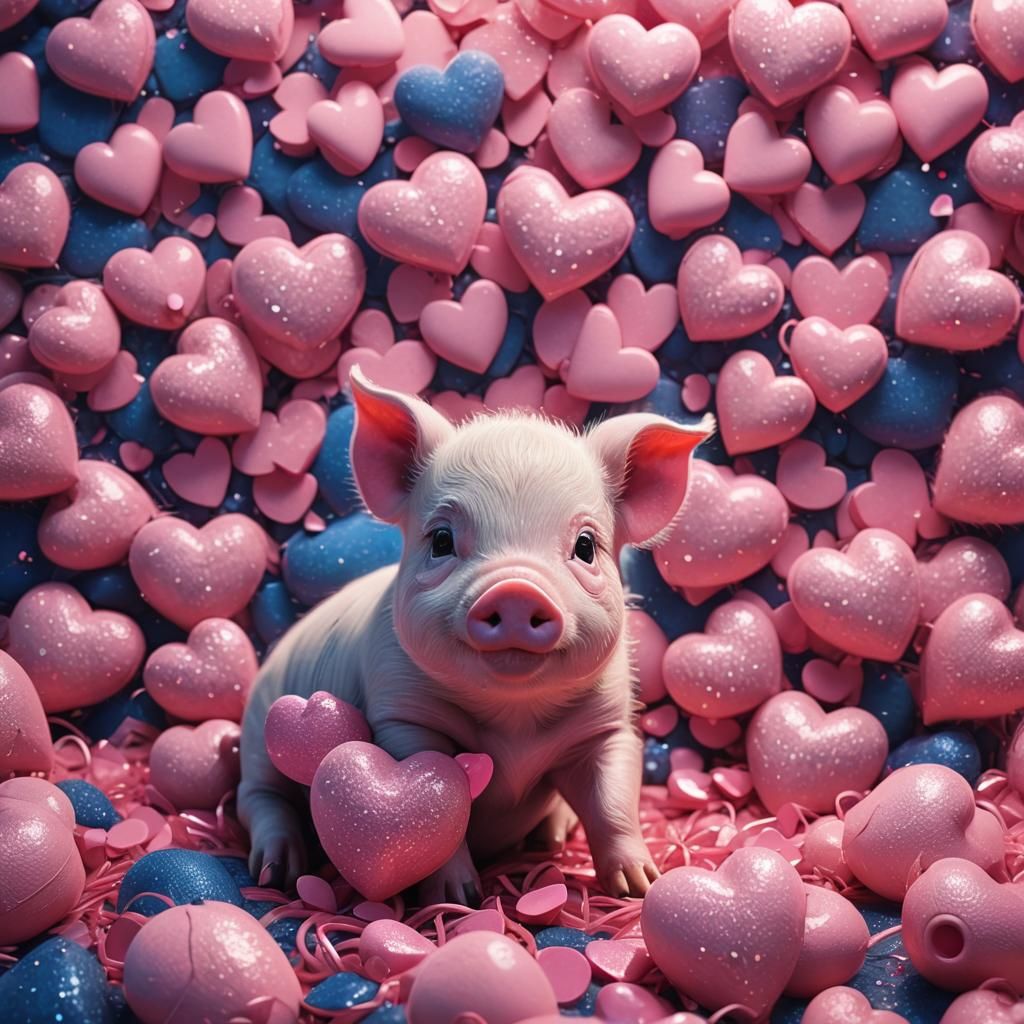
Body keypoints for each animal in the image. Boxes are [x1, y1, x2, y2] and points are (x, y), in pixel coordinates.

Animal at [239, 367, 713, 902]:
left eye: (586, 546)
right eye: (442, 540)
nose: (516, 590)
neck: (515, 720)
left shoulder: (609, 726)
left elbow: (613, 802)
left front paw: (640, 887)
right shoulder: (402, 717)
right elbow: (444, 817)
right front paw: (457, 900)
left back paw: (553, 836)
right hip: (260, 732)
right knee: (259, 800)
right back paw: (276, 872)